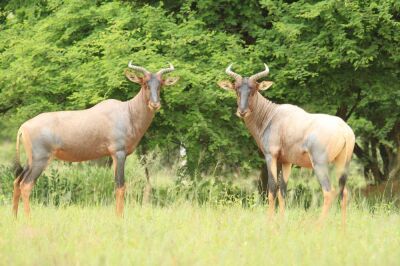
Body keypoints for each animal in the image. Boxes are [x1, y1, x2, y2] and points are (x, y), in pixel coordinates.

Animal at [11, 61, 179, 217]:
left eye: (160, 84)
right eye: (144, 83)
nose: (155, 104)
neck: (127, 112)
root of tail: (23, 127)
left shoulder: (114, 156)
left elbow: (117, 185)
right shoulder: (119, 153)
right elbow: (120, 186)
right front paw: (119, 218)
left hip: (31, 161)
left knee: (17, 182)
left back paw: (15, 218)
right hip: (41, 160)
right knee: (26, 185)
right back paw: (28, 219)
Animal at [219, 63, 356, 223]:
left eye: (253, 89)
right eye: (237, 88)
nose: (242, 111)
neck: (272, 115)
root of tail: (344, 130)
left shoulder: (271, 156)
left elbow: (272, 187)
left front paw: (269, 221)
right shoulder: (286, 161)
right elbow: (282, 189)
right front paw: (282, 221)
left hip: (320, 164)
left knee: (329, 192)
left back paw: (318, 225)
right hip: (343, 163)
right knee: (343, 192)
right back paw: (343, 226)